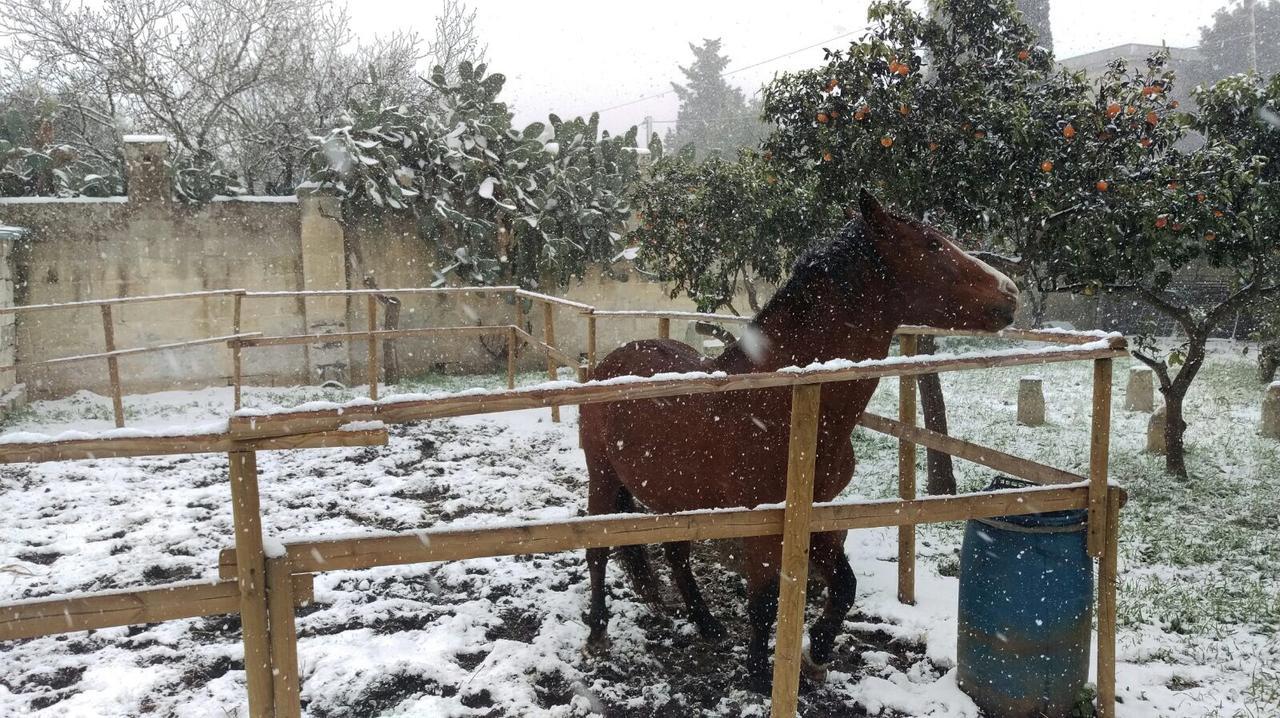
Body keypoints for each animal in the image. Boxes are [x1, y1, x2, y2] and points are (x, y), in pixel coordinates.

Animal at [581, 189, 1018, 691]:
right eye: (930, 243)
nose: (1010, 292)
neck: (782, 397)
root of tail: (609, 362)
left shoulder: (816, 509)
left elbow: (844, 585)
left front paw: (818, 652)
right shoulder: (763, 520)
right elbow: (764, 601)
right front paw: (757, 673)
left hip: (680, 498)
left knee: (676, 554)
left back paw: (706, 624)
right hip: (603, 479)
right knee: (598, 550)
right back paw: (598, 629)